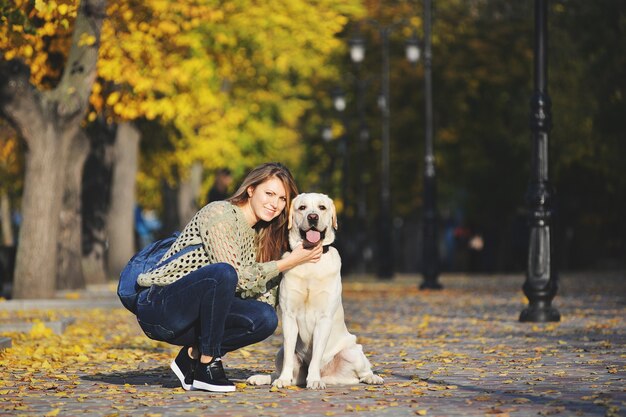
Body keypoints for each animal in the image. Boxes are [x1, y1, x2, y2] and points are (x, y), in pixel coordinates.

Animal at [246, 193, 382, 388]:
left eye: (322, 207)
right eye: (302, 208)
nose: (312, 217)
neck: (309, 262)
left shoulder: (324, 318)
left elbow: (317, 354)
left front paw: (315, 380)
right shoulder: (288, 317)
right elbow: (288, 357)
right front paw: (283, 380)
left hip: (353, 351)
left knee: (363, 372)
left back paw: (372, 378)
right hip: (280, 351)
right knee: (282, 368)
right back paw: (263, 378)